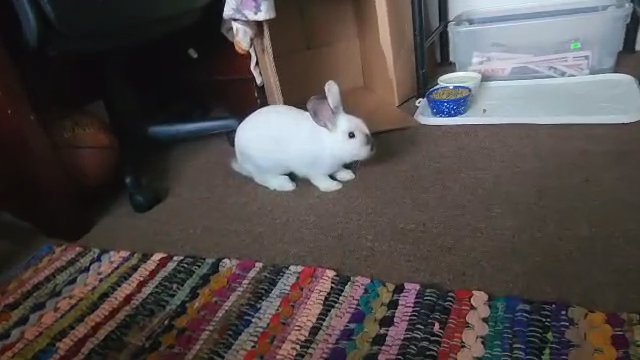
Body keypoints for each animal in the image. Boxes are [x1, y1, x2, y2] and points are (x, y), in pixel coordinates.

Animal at [232, 79, 376, 191]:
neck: (330, 144)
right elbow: (320, 179)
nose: (372, 146)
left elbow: (338, 170)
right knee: (262, 178)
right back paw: (286, 184)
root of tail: (240, 158)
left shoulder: (335, 166)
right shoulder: (314, 170)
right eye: (351, 135)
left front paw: (347, 175)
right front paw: (333, 186)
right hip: (265, 165)